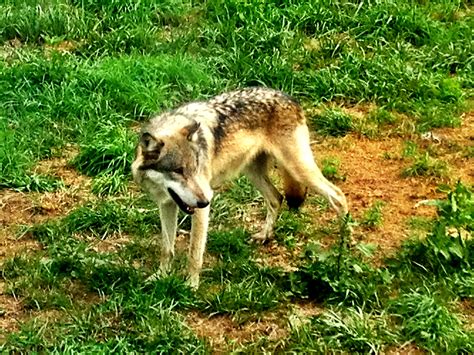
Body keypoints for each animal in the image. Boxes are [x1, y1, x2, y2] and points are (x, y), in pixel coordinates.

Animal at [131, 87, 346, 290]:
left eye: (195, 168)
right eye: (178, 171)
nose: (204, 201)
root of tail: (291, 99)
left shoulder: (201, 208)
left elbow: (194, 254)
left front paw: (190, 287)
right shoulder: (166, 205)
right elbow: (166, 248)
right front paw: (159, 277)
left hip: (299, 170)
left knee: (339, 196)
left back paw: (343, 247)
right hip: (253, 172)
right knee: (276, 198)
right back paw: (264, 236)